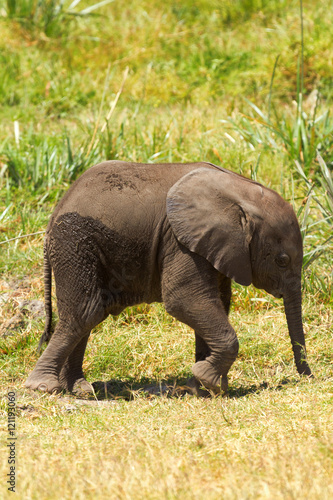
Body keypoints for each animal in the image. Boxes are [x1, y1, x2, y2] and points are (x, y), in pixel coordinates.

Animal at [25, 160, 312, 394]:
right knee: (85, 311)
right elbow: (184, 299)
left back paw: (79, 389)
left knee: (87, 315)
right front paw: (209, 382)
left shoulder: (216, 246)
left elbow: (216, 302)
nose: (307, 377)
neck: (240, 190)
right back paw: (43, 386)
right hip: (75, 244)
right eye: (282, 260)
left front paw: (204, 388)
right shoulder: (180, 241)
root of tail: (55, 213)